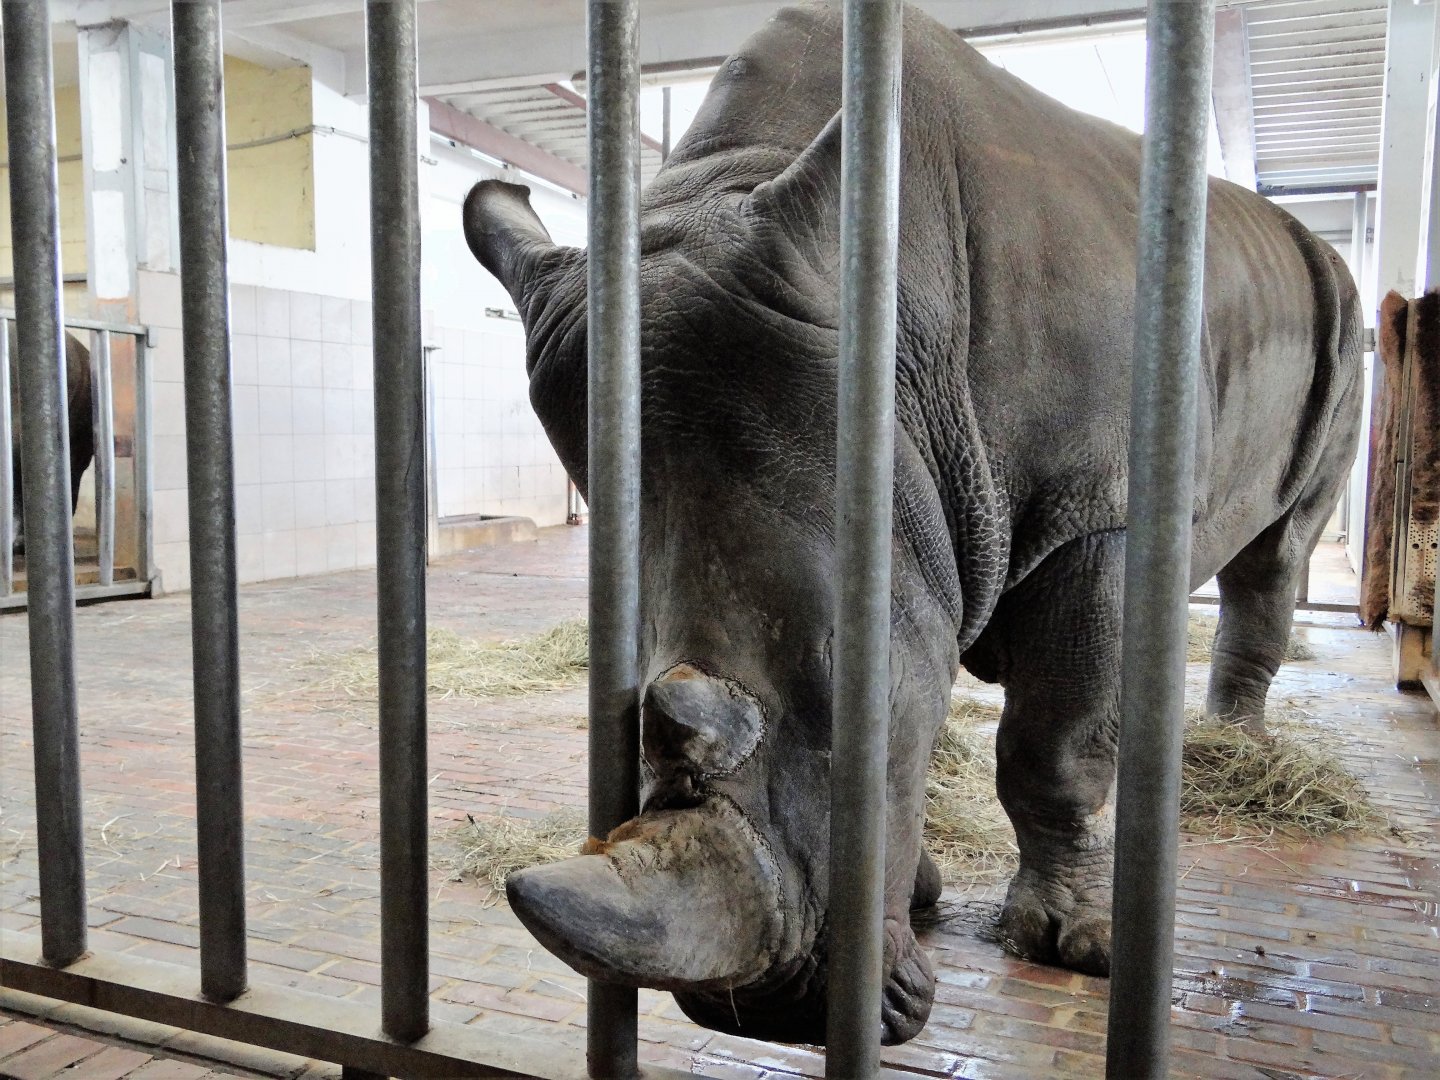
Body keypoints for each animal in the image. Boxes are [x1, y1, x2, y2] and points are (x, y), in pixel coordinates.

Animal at [461, 1, 1361, 1047]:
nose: (764, 1014)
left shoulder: (1099, 513)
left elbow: (1056, 745)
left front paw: (1078, 945)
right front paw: (923, 899)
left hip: (1340, 314)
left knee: (1279, 549)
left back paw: (1234, 750)